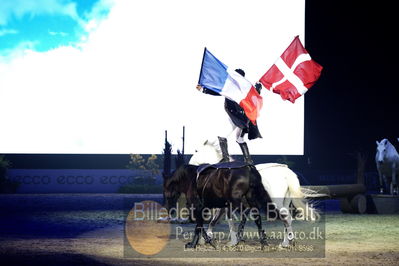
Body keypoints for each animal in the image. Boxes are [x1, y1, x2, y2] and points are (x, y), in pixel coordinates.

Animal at [189, 141, 324, 247]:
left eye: (196, 150)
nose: (191, 164)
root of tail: (287, 173)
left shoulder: (225, 205)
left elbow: (218, 220)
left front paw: (210, 239)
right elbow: (221, 221)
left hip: (276, 203)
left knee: (285, 218)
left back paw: (286, 242)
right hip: (285, 202)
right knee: (288, 219)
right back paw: (286, 242)